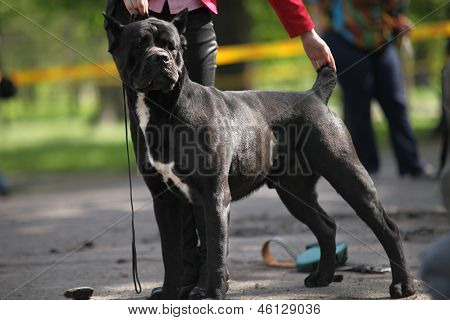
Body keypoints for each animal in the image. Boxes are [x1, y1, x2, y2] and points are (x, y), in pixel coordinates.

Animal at [104, 10, 414, 300]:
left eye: (172, 47)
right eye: (139, 45)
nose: (161, 59)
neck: (161, 107)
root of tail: (315, 96)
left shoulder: (213, 195)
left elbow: (215, 247)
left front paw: (212, 293)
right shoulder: (165, 199)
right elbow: (171, 253)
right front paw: (170, 293)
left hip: (347, 175)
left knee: (388, 228)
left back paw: (402, 285)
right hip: (295, 192)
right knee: (326, 227)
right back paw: (322, 277)